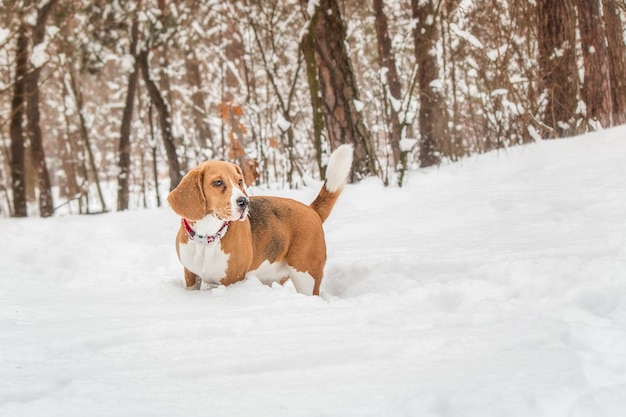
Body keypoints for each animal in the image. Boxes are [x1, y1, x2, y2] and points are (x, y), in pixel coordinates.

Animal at [166, 145, 352, 294]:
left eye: (239, 181)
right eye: (218, 182)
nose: (244, 202)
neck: (208, 237)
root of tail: (311, 210)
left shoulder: (233, 280)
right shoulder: (190, 275)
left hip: (305, 276)